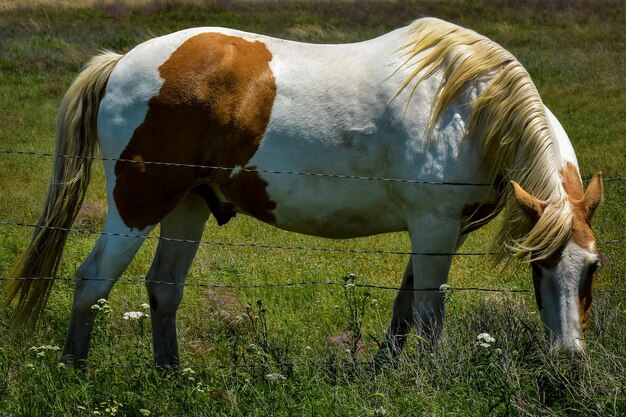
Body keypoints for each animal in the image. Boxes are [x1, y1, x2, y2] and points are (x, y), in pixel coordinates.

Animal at [3, 17, 600, 366]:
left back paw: (172, 375)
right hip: (137, 205)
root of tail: (123, 62)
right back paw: (75, 371)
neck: (469, 106)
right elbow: (429, 315)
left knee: (164, 288)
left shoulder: (442, 232)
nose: (570, 354)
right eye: (541, 266)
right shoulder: (434, 227)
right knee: (92, 281)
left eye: (591, 269)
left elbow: (405, 310)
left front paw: (384, 372)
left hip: (189, 206)